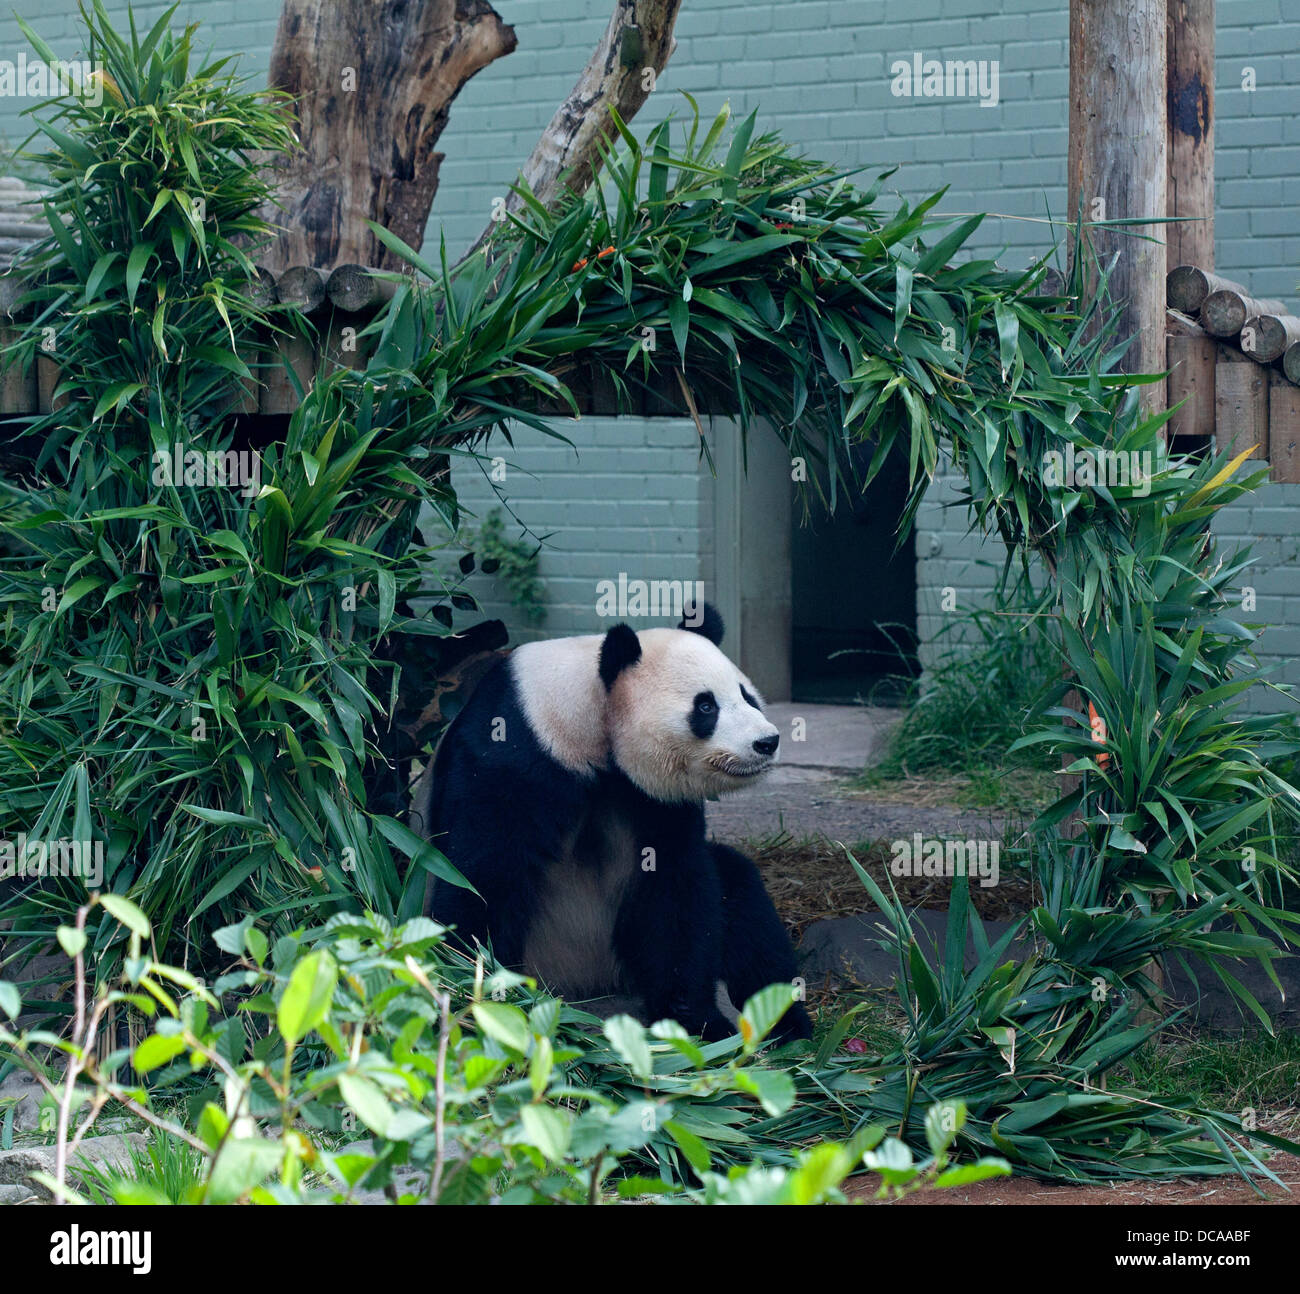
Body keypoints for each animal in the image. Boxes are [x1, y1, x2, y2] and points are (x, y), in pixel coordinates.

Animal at [416, 603, 806, 1040]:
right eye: (705, 707)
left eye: (747, 695)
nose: (767, 742)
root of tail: (589, 981)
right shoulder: (509, 754)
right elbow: (483, 876)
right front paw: (488, 995)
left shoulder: (652, 798)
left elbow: (676, 887)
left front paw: (696, 1020)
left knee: (742, 894)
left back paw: (786, 1023)